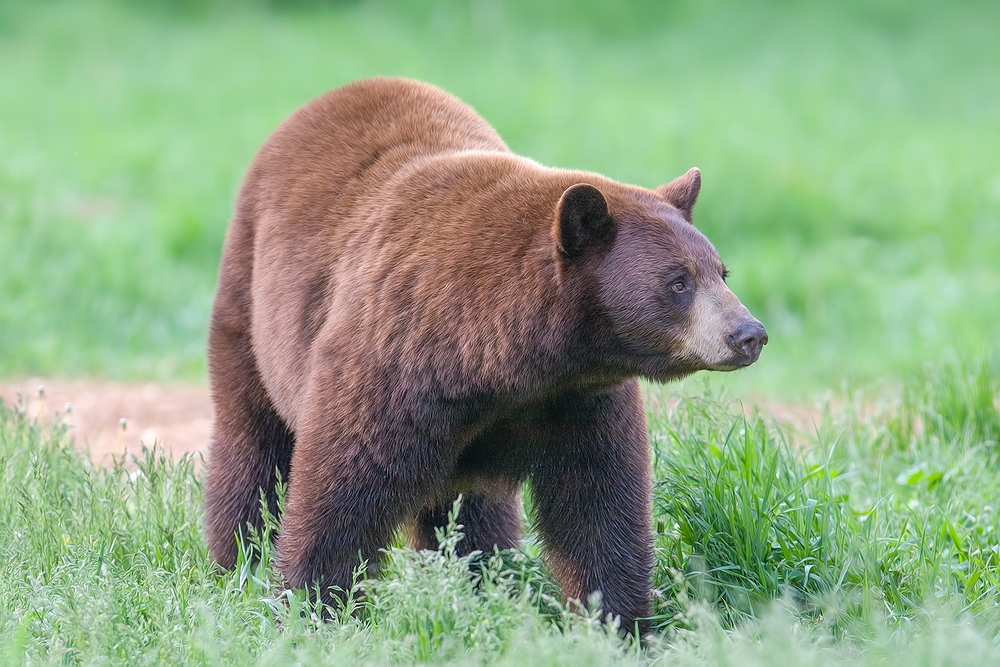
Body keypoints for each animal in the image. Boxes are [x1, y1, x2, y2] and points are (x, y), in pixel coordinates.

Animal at [203, 75, 764, 636]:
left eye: (720, 271)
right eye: (678, 282)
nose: (749, 333)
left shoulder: (581, 401)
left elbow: (600, 507)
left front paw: (619, 623)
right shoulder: (390, 365)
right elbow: (341, 490)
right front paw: (311, 609)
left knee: (471, 514)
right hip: (252, 306)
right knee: (252, 444)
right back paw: (236, 560)